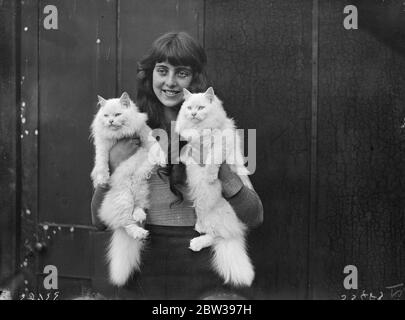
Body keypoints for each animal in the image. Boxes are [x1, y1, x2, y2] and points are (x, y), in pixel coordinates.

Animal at [90, 91, 164, 286]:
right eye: (106, 116)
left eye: (117, 115)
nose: (110, 122)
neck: (120, 135)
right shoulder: (102, 148)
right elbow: (102, 163)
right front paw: (102, 179)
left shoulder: (144, 134)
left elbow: (155, 146)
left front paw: (162, 159)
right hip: (123, 197)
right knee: (125, 224)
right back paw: (140, 233)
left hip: (140, 187)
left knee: (136, 209)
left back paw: (140, 216)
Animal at [174, 86, 256, 286]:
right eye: (189, 108)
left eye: (201, 108)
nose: (193, 114)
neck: (201, 130)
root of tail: (238, 230)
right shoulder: (190, 143)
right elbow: (186, 149)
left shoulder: (222, 144)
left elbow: (213, 159)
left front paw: (210, 176)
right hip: (203, 209)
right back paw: (199, 228)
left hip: (219, 218)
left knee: (217, 236)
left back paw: (196, 243)